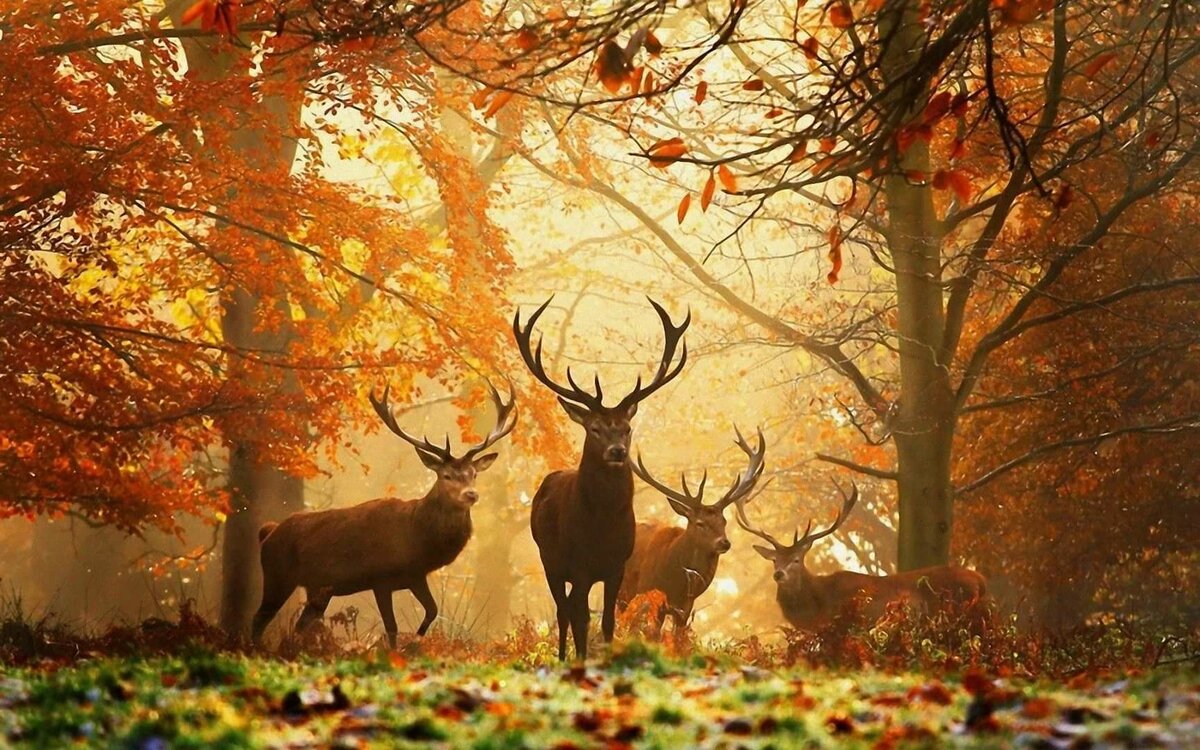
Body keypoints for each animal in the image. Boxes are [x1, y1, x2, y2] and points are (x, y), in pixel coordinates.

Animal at [251, 381, 516, 649]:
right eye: (446, 475)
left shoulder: (415, 575)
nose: (471, 494)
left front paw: (416, 641)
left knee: (300, 624)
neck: (416, 538)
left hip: (318, 589)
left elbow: (432, 610)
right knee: (258, 620)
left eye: (474, 474)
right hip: (277, 575)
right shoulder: (380, 578)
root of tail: (268, 532)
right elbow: (391, 627)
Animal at [513, 297, 689, 661]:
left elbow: (608, 621)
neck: (602, 527)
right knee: (563, 612)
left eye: (627, 428)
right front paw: (581, 660)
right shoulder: (578, 565)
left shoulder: (616, 566)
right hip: (549, 559)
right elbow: (580, 619)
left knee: (569, 609)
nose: (617, 451)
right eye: (594, 428)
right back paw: (562, 657)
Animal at [618, 427, 767, 639]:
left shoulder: (686, 606)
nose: (724, 543)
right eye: (700, 523)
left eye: (724, 521)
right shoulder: (649, 592)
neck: (675, 581)